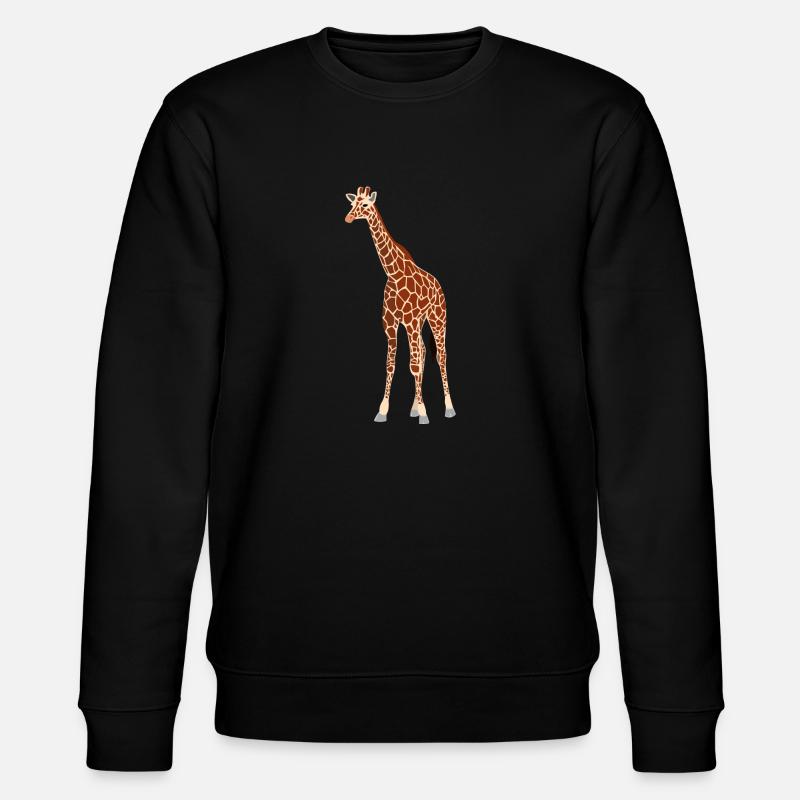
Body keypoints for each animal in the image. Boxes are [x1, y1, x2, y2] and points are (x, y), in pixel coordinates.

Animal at [345, 185, 455, 424]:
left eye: (365, 204)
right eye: (352, 203)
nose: (348, 217)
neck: (393, 274)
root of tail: (438, 284)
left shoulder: (410, 320)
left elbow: (413, 365)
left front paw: (424, 413)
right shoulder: (390, 323)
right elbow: (391, 365)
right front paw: (383, 411)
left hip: (437, 317)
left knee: (440, 356)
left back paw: (449, 407)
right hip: (419, 322)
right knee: (422, 350)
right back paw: (414, 407)